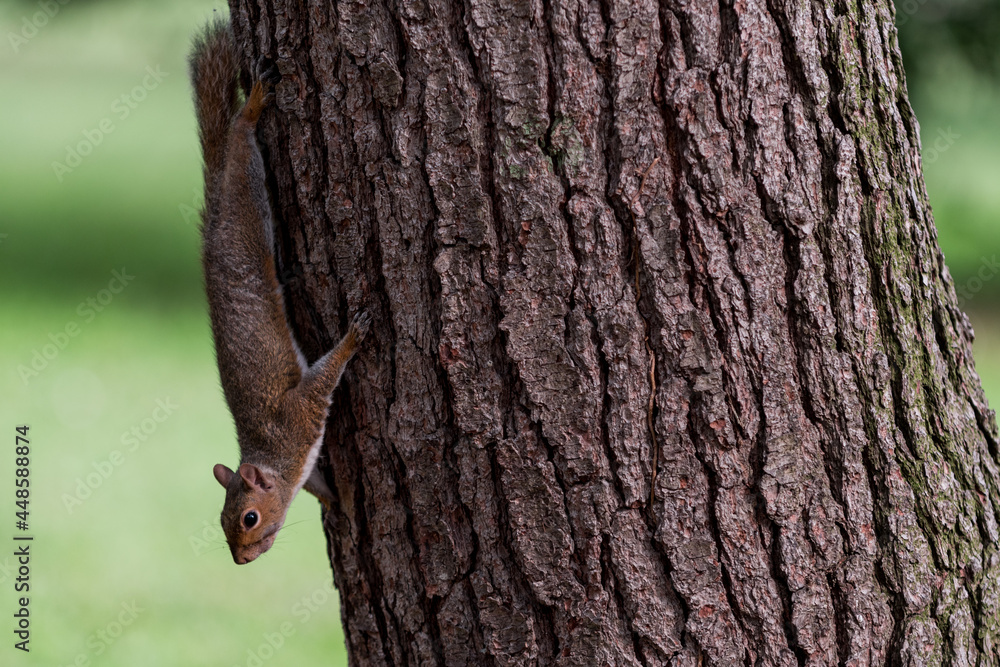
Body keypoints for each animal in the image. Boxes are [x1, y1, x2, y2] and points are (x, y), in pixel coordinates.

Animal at [189, 18, 370, 565]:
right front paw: (343, 503)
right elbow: (321, 486)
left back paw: (252, 108)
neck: (271, 455)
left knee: (240, 142)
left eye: (249, 518)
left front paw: (351, 339)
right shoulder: (300, 458)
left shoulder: (300, 415)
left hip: (245, 209)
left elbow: (322, 379)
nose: (241, 560)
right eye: (222, 522)